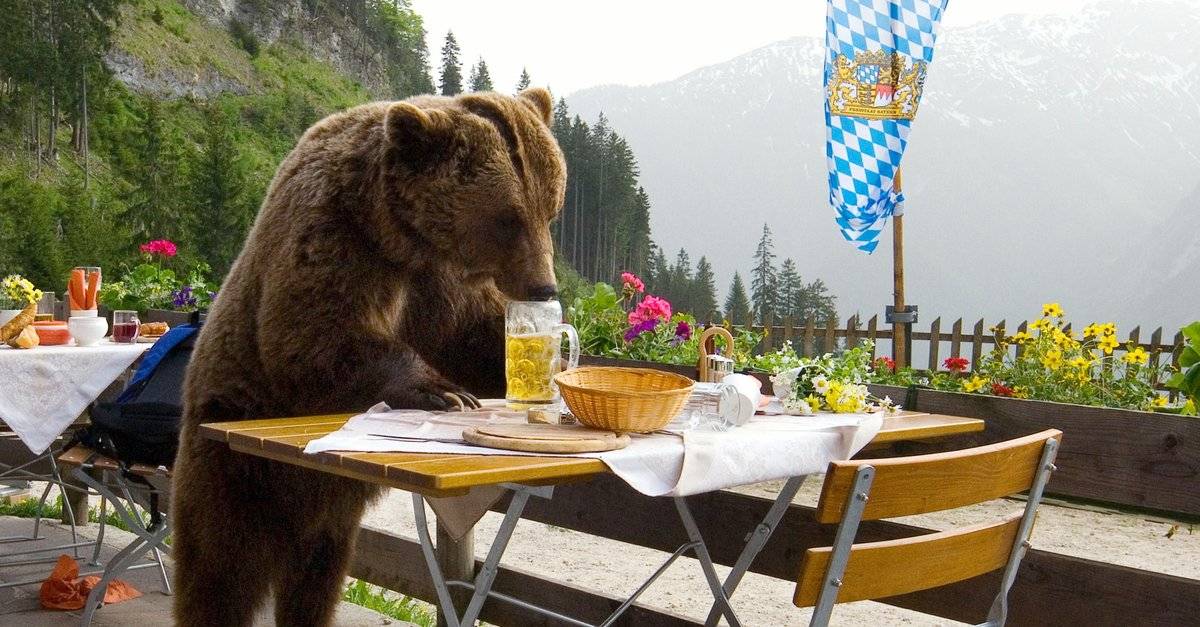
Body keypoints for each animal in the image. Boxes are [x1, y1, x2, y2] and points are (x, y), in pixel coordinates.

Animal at [171, 87, 566, 626]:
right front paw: (441, 390)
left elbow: (475, 338)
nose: (544, 287)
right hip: (231, 463)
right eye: (507, 218)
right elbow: (310, 336)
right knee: (220, 568)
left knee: (317, 575)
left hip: (329, 512)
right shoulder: (334, 236)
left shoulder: (440, 287)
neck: (398, 234)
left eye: (549, 208)